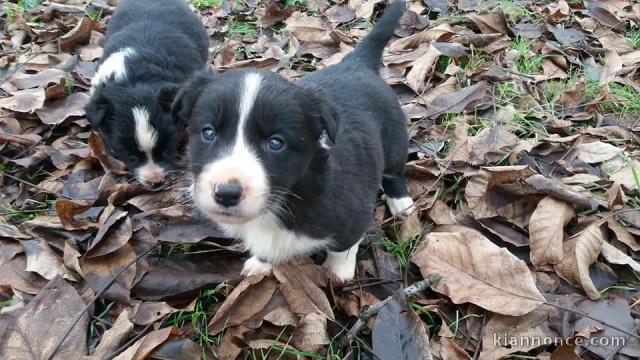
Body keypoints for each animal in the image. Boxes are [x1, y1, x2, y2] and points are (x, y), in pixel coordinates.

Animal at [175, 1, 416, 282]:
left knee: (394, 170)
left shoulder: (354, 213)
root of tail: (357, 63)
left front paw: (338, 273)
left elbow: (344, 246)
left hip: (394, 139)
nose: (226, 193)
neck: (288, 196)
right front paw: (259, 264)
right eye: (209, 133)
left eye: (275, 143)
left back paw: (401, 203)